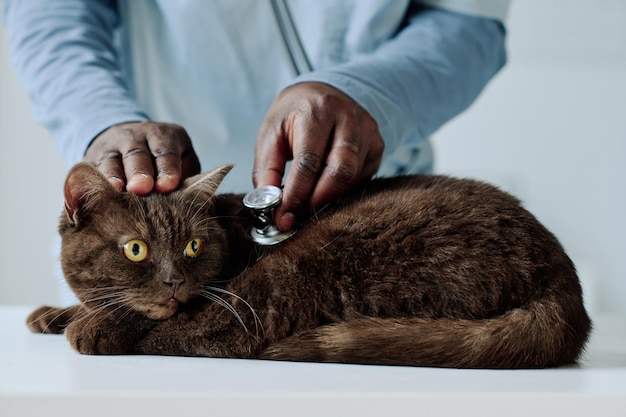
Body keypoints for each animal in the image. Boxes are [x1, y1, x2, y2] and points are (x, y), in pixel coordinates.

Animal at [25, 162, 588, 368]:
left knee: (224, 334)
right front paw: (54, 313)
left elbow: (147, 314)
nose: (173, 281)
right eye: (136, 250)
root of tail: (563, 278)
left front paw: (89, 323)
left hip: (314, 256)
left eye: (193, 247)